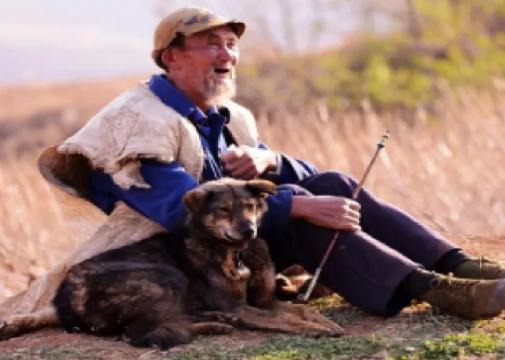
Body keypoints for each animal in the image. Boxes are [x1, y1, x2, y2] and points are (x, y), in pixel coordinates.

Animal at [51, 179, 342, 350]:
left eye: (250, 206)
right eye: (223, 209)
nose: (249, 231)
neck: (236, 252)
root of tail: (64, 301)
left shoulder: (264, 300)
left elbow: (301, 309)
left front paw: (325, 322)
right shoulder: (241, 306)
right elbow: (287, 320)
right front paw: (315, 329)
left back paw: (217, 322)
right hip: (166, 275)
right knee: (141, 333)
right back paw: (215, 324)